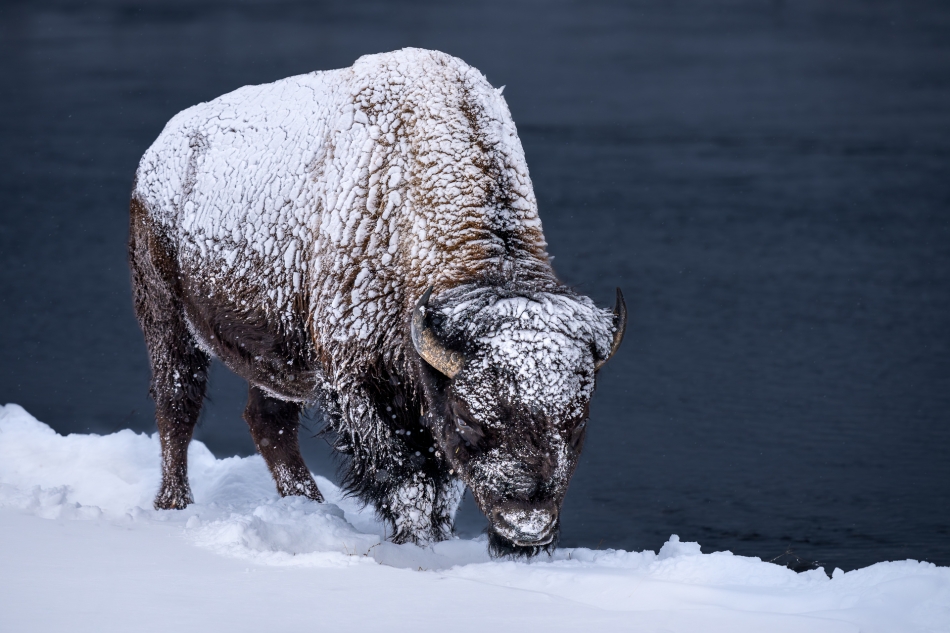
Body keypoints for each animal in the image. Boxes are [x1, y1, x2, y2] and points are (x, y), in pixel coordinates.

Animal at [130, 48, 628, 552]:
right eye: (471, 418)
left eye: (576, 424)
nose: (526, 526)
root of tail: (160, 151)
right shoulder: (362, 382)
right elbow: (407, 478)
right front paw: (414, 543)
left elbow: (442, 486)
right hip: (165, 315)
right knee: (178, 405)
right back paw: (174, 505)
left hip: (275, 355)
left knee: (268, 421)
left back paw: (307, 506)